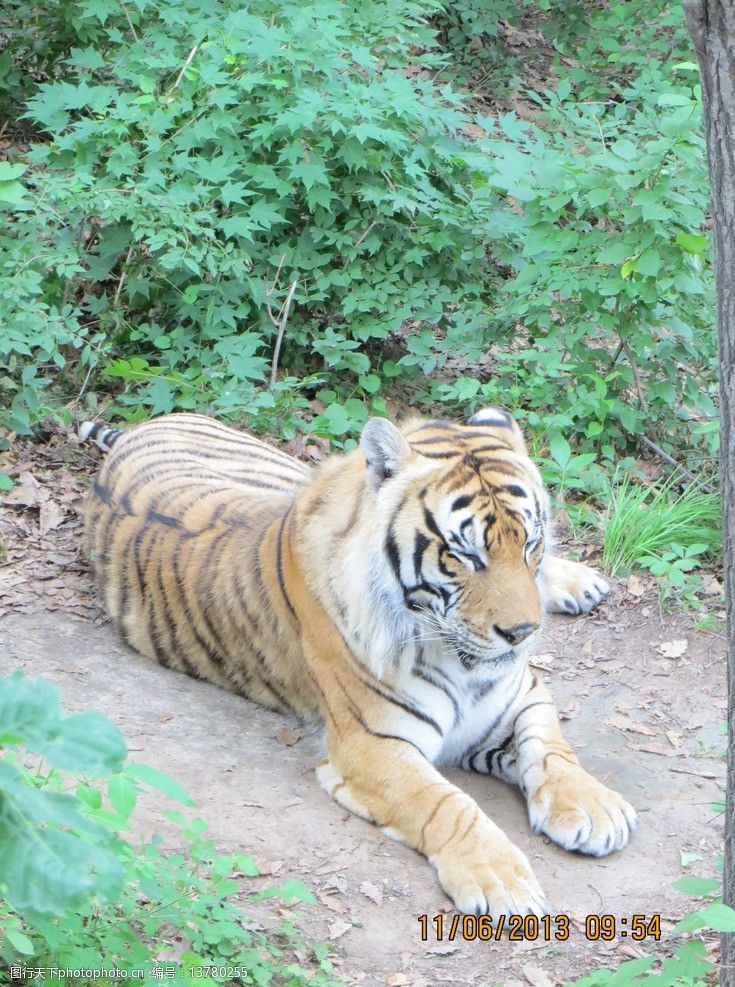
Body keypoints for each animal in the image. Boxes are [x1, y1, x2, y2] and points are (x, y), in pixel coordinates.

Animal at [77, 410, 636, 920]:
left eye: (530, 543)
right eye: (464, 555)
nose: (522, 633)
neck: (456, 657)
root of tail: (148, 424)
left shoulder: (522, 694)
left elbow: (552, 747)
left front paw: (594, 808)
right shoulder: (373, 744)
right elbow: (448, 805)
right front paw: (501, 878)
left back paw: (582, 583)